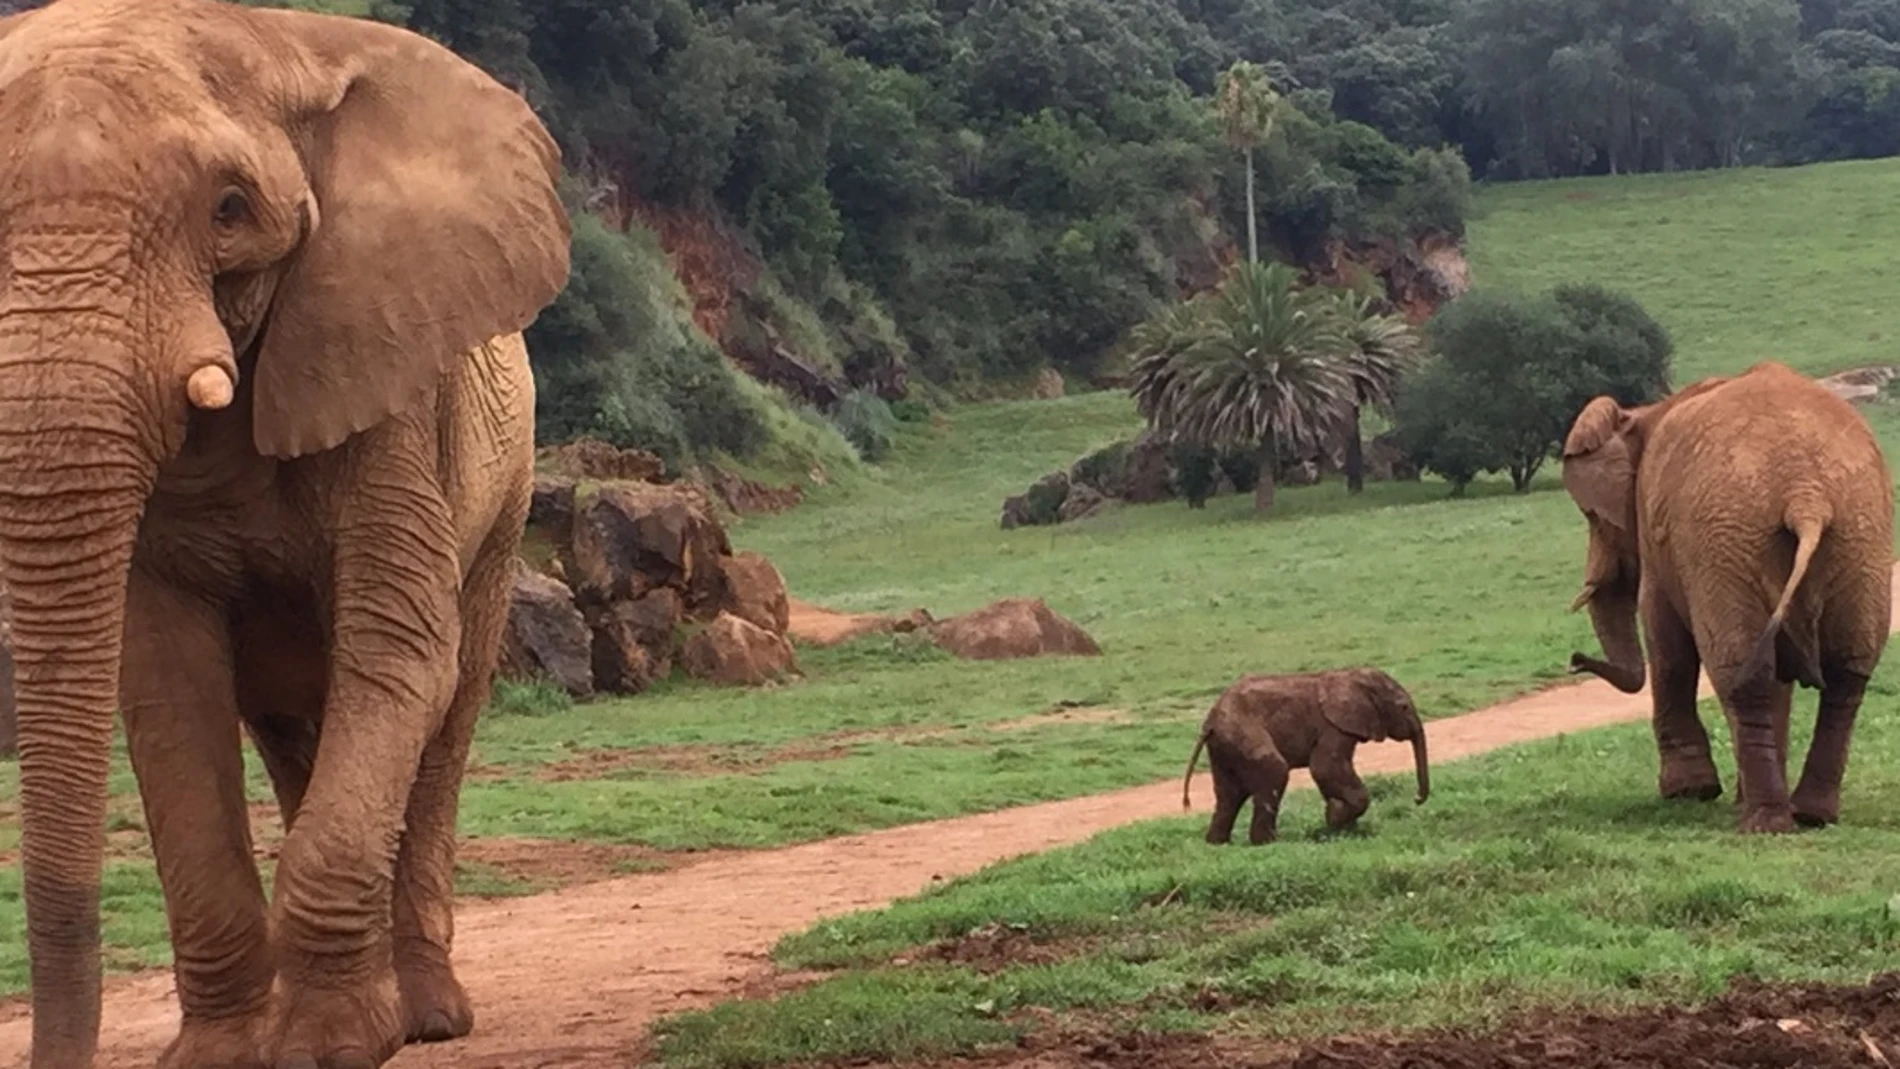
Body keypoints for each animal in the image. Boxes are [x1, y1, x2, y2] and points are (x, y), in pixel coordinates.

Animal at [0, 2, 571, 1067]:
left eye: (229, 210)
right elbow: (168, 682)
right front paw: (225, 1054)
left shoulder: (385, 378)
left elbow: (398, 651)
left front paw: (329, 1046)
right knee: (297, 723)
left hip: (507, 502)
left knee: (444, 715)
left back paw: (426, 1016)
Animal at [1181, 667, 1430, 845]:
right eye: (1404, 707)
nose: (1417, 798)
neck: (1350, 675)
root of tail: (1210, 721)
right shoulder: (1333, 726)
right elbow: (1325, 767)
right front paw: (1335, 817)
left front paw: (1343, 827)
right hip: (1242, 731)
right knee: (1274, 771)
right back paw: (1269, 842)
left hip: (1225, 745)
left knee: (1229, 794)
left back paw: (1217, 843)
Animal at [1562, 361, 1893, 835]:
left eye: (1594, 516)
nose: (1573, 660)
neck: (1644, 413)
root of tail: (1806, 495)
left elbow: (1667, 645)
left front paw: (1688, 794)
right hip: (1859, 536)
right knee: (1846, 675)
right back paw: (1810, 815)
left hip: (1727, 542)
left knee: (1741, 672)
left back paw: (1764, 823)